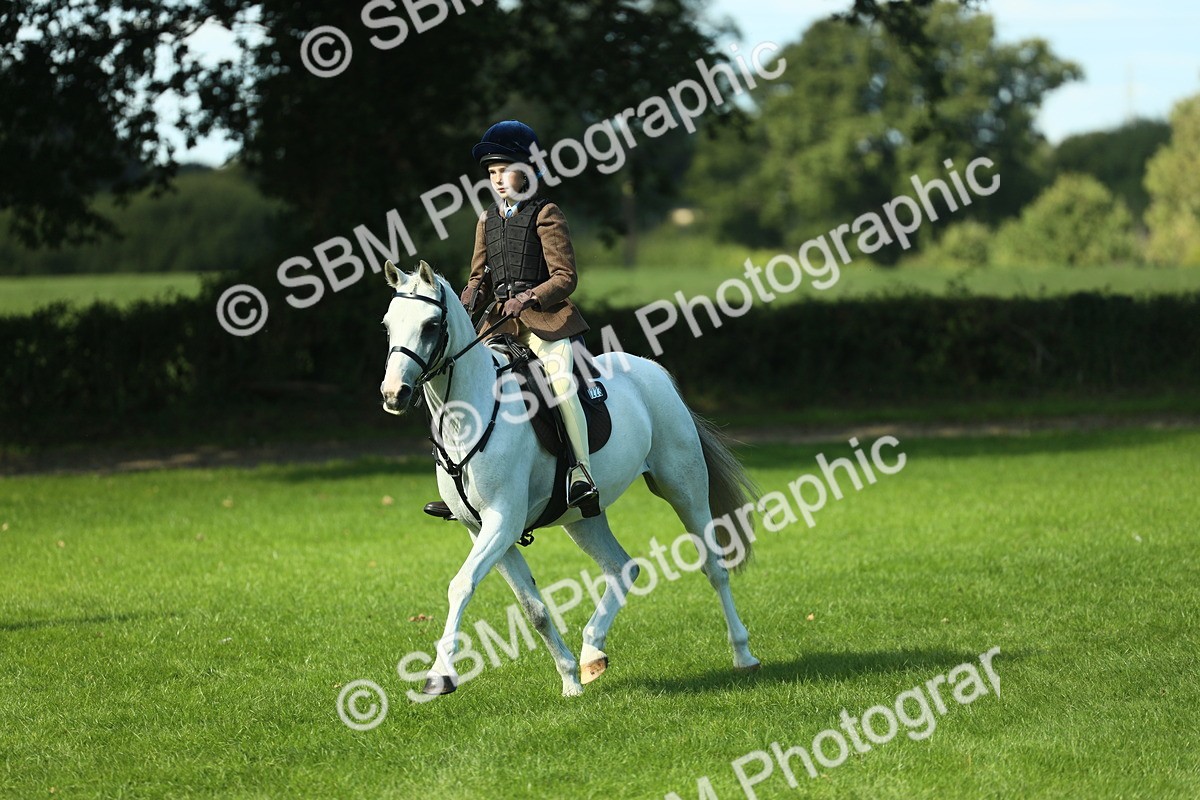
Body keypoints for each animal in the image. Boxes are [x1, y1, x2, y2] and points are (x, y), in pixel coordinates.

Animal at [379, 259, 760, 697]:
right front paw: (569, 680)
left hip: (684, 488)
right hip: (583, 517)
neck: (469, 415)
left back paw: (743, 654)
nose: (393, 394)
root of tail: (655, 373)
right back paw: (592, 653)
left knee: (714, 567)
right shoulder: (481, 529)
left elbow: (461, 584)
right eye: (388, 325)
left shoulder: (502, 521)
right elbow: (534, 609)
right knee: (622, 568)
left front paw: (439, 675)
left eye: (430, 325)